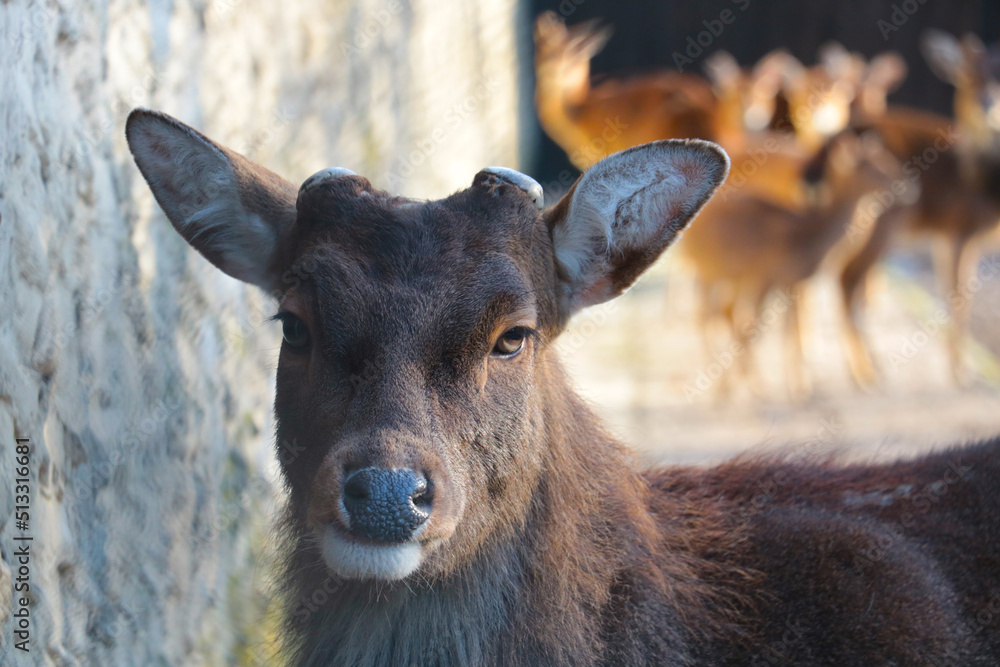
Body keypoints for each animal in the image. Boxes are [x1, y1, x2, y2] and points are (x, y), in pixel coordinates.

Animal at [837, 32, 1000, 386]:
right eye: (968, 77)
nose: (986, 103)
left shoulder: (943, 238)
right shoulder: (960, 229)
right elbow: (959, 298)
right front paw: (961, 374)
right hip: (879, 220)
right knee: (847, 279)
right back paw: (866, 372)